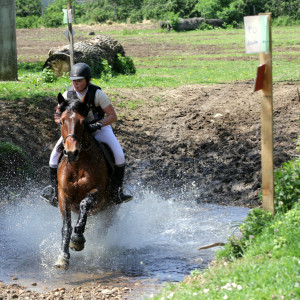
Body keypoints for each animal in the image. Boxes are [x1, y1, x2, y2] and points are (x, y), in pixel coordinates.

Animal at [53, 93, 115, 270]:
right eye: (62, 121)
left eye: (83, 122)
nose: (71, 152)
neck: (78, 164)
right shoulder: (63, 195)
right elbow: (66, 226)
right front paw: (63, 257)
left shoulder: (99, 193)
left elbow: (84, 204)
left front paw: (77, 240)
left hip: (109, 208)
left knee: (103, 229)